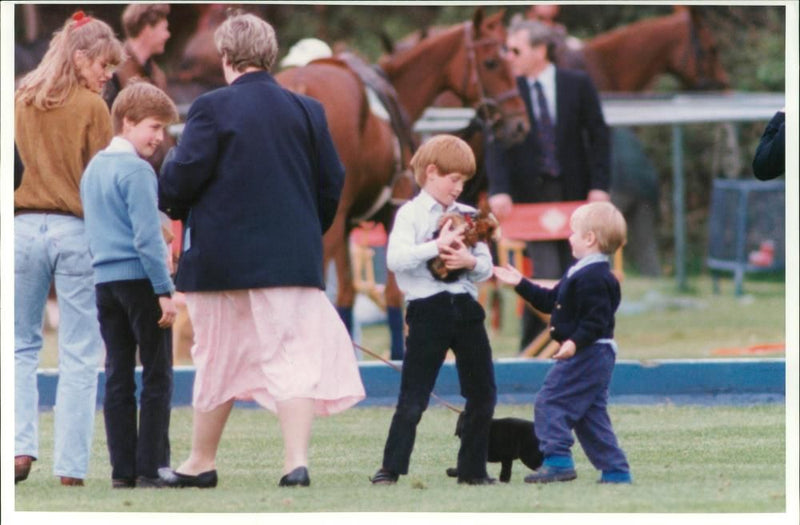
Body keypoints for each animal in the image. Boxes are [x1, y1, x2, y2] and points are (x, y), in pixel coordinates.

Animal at [276, 8, 532, 358]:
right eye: (492, 61)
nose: (519, 124)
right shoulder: (389, 213)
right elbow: (394, 296)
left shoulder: (347, 225)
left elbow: (346, 295)